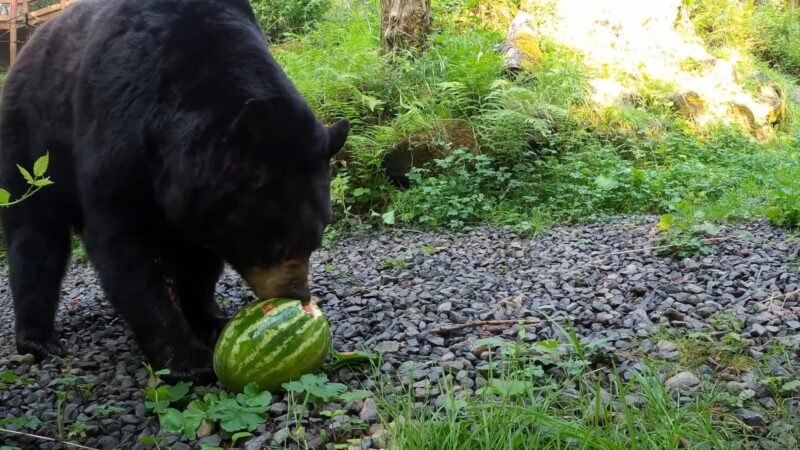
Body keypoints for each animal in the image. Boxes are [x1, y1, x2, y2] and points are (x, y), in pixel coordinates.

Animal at [0, 0, 346, 382]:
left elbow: (200, 257)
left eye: (315, 241)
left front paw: (210, 319)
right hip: (31, 147)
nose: (298, 297)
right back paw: (38, 340)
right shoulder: (116, 129)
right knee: (34, 237)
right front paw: (187, 358)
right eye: (275, 244)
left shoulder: (201, 200)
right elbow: (121, 245)